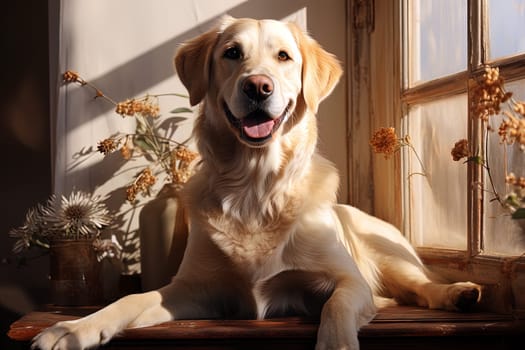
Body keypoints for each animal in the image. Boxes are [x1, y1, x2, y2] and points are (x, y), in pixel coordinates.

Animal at [32, 16, 482, 350]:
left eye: (284, 57)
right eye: (232, 53)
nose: (258, 87)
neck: (256, 185)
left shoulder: (348, 281)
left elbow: (335, 310)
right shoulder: (194, 289)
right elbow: (132, 297)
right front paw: (73, 328)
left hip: (387, 252)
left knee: (420, 285)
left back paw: (459, 292)